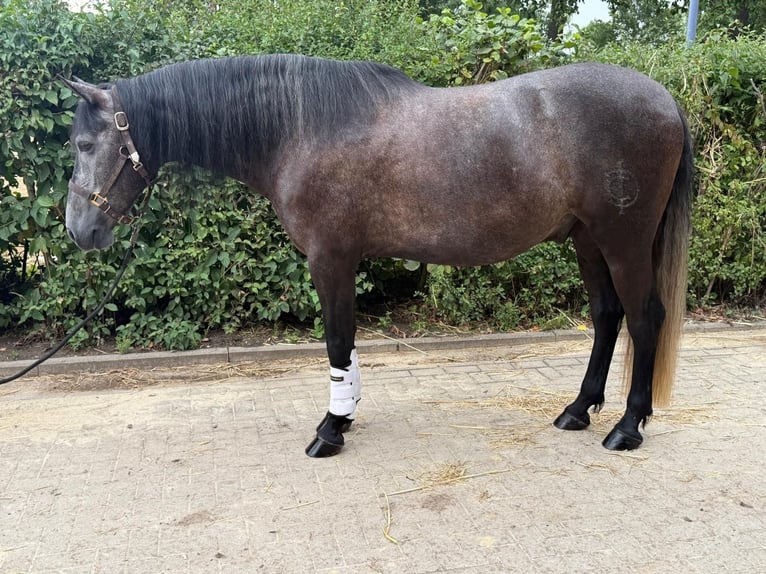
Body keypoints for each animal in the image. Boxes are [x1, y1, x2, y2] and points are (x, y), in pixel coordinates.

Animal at [63, 54, 693, 458]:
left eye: (85, 144)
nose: (79, 229)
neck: (300, 129)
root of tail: (665, 98)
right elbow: (347, 345)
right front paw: (347, 413)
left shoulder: (330, 258)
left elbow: (337, 341)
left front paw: (330, 429)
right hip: (588, 240)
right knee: (607, 317)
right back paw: (578, 410)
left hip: (623, 239)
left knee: (644, 319)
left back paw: (627, 427)